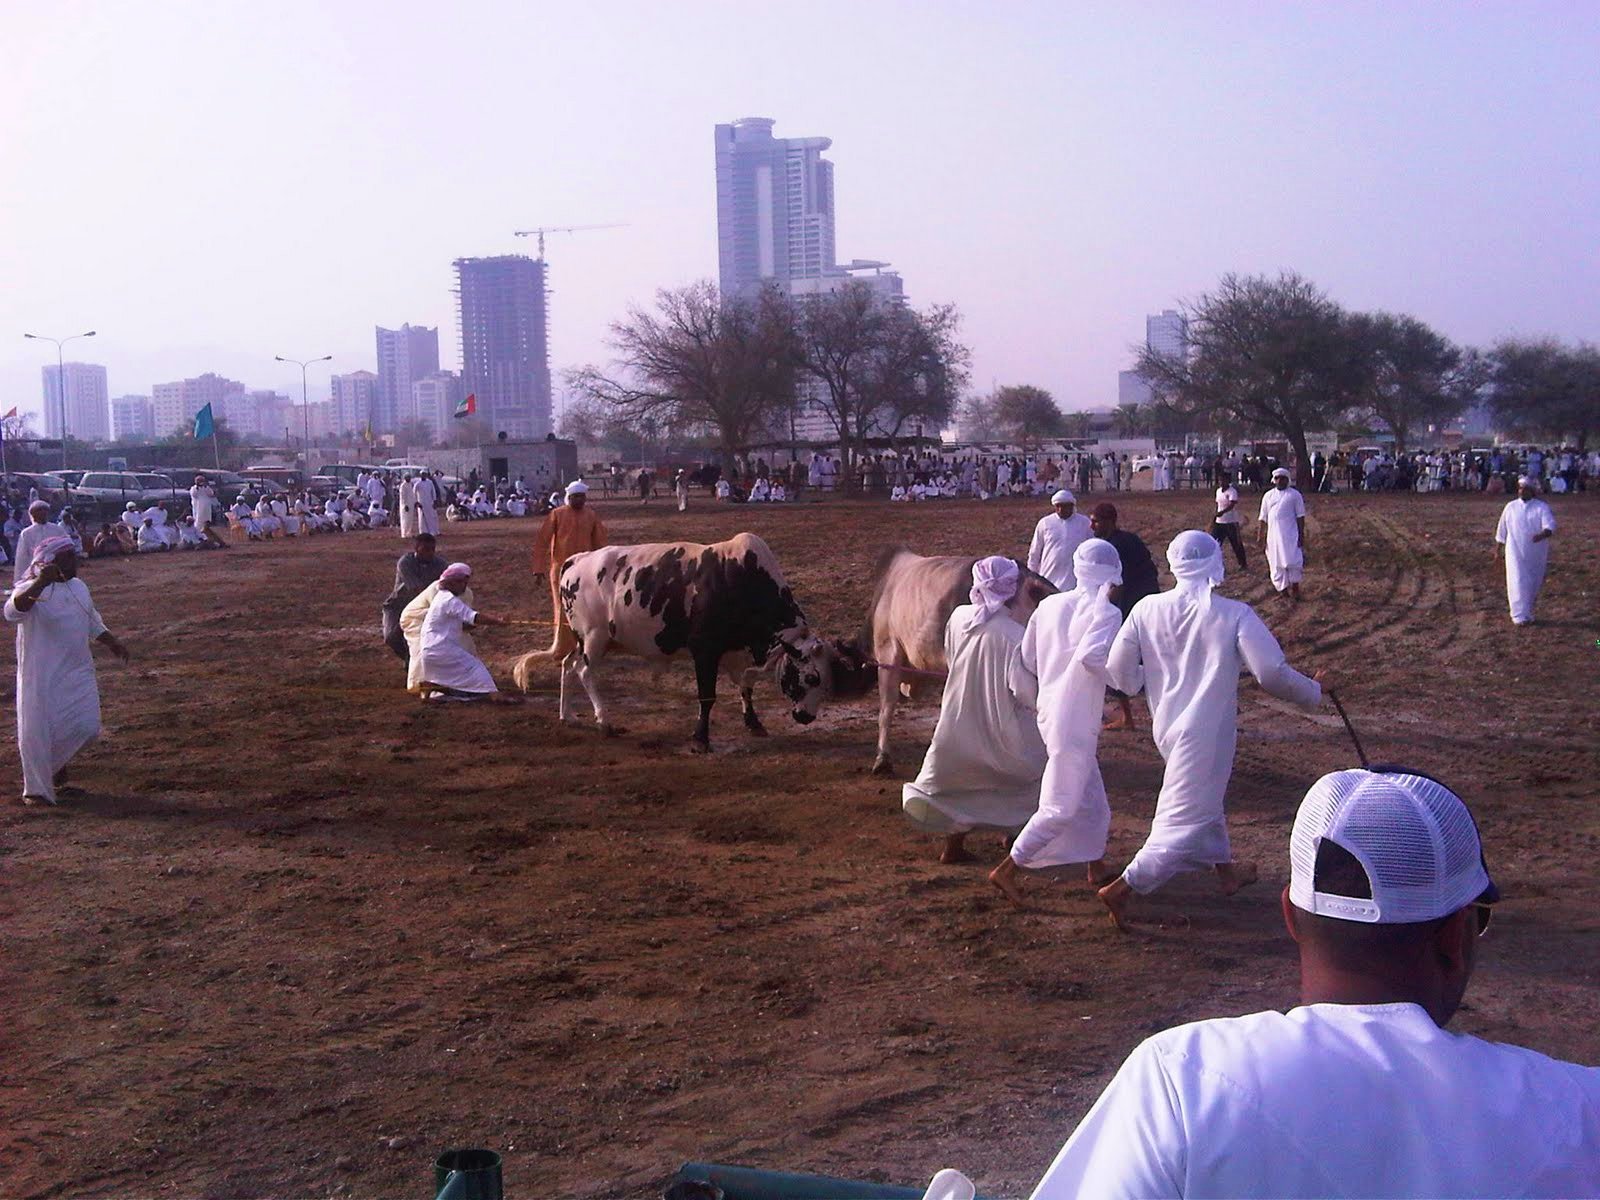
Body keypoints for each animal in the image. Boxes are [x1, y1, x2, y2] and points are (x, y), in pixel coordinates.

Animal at [508, 534, 864, 752]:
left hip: (588, 640)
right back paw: (604, 721)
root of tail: (576, 560)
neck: (740, 579)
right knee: (583, 671)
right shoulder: (704, 651)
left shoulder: (737, 652)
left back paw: (567, 715)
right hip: (595, 639)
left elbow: (745, 687)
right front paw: (700, 739)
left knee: (567, 666)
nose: (806, 717)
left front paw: (753, 723)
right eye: (810, 677)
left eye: (828, 679)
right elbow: (707, 697)